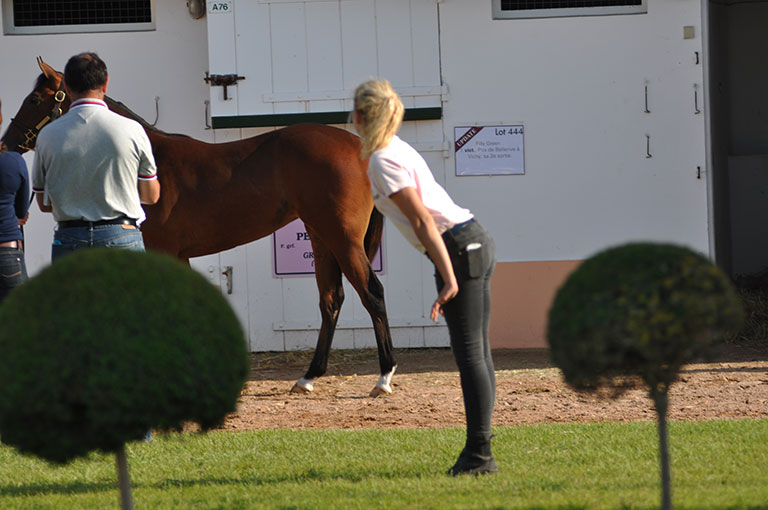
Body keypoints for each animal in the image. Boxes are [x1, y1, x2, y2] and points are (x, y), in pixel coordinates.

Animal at [1, 57, 397, 397]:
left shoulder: (161, 251)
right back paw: (309, 377)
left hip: (342, 238)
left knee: (372, 293)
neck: (148, 160)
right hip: (320, 236)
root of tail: (356, 144)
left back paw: (384, 377)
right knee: (331, 299)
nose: (6, 144)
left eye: (34, 99)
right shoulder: (177, 255)